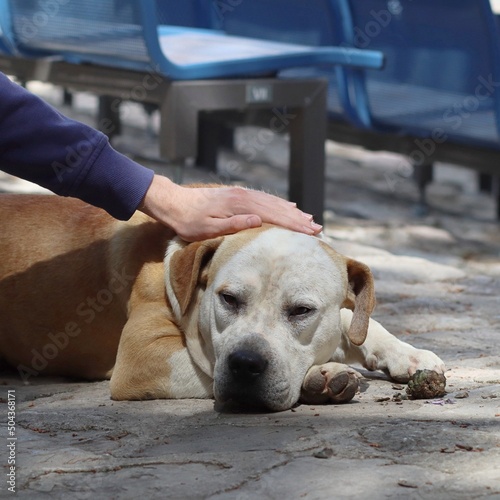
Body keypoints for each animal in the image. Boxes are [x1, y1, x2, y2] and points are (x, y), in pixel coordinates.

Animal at [0, 194, 446, 410]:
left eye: (301, 311)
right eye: (228, 299)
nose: (246, 364)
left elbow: (356, 321)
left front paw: (406, 353)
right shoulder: (144, 357)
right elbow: (205, 366)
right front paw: (321, 375)